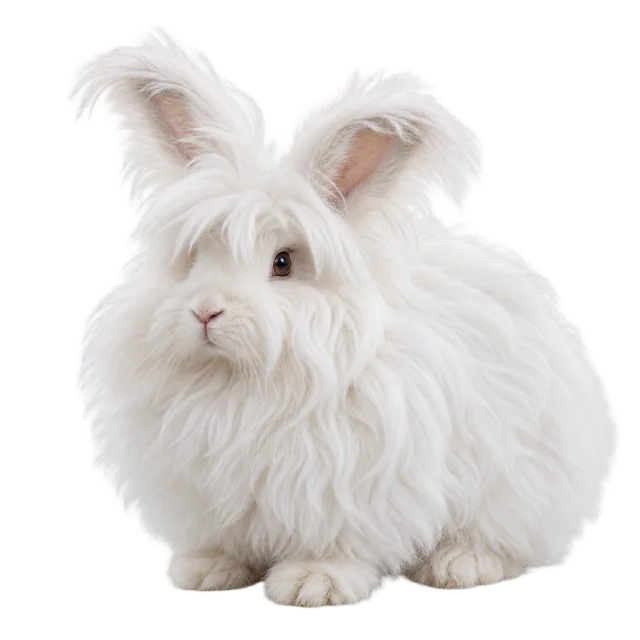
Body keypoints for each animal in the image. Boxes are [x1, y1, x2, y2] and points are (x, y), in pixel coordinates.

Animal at [71, 26, 621, 609]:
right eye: (196, 254)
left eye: (283, 263)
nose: (205, 312)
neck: (242, 384)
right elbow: (224, 540)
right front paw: (208, 572)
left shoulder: (345, 487)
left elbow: (335, 541)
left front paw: (314, 583)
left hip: (521, 488)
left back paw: (461, 566)